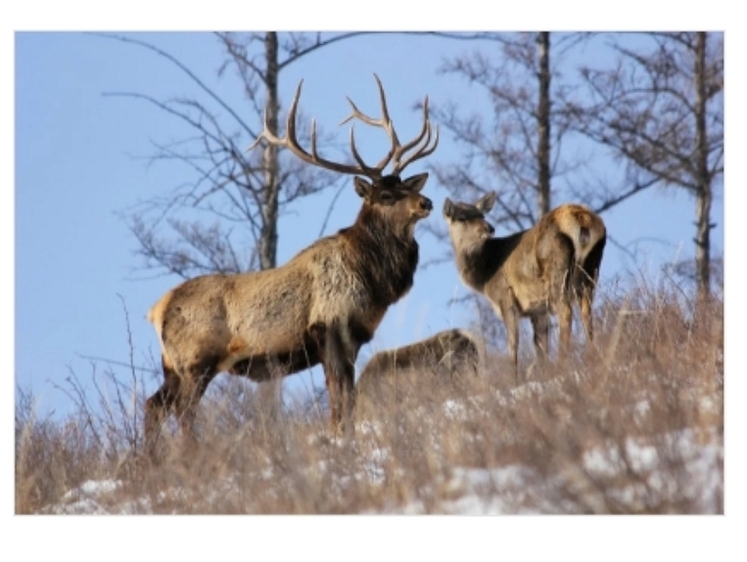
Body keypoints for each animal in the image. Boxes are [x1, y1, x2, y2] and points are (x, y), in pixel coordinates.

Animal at [142, 74, 438, 456]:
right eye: (386, 195)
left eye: (405, 184)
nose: (426, 202)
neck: (373, 280)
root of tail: (157, 310)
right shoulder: (330, 328)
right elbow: (340, 397)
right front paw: (340, 439)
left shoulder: (354, 338)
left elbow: (348, 398)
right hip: (196, 360)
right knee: (183, 410)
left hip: (172, 366)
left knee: (153, 405)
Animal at [444, 191, 608, 380]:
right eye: (461, 218)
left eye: (481, 215)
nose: (489, 228)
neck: (485, 277)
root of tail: (582, 219)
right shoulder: (538, 309)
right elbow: (541, 345)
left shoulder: (505, 296)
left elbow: (513, 343)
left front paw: (513, 378)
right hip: (590, 271)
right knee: (587, 313)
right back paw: (592, 358)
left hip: (557, 272)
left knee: (566, 312)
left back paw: (561, 364)